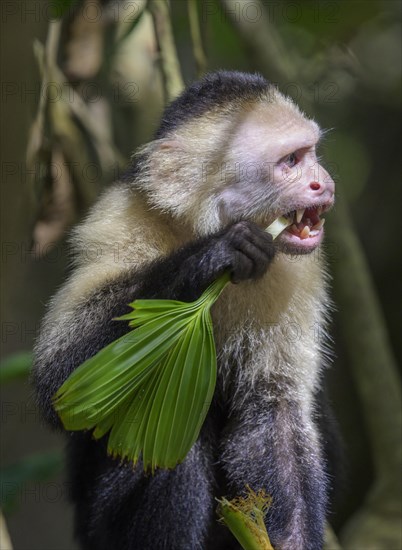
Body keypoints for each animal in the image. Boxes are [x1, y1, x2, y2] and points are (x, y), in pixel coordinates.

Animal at [33, 72, 338, 550]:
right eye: (290, 161)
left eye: (311, 154)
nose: (323, 182)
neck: (202, 222)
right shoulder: (117, 219)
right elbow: (59, 383)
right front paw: (212, 256)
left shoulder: (297, 271)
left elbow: (274, 410)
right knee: (166, 421)